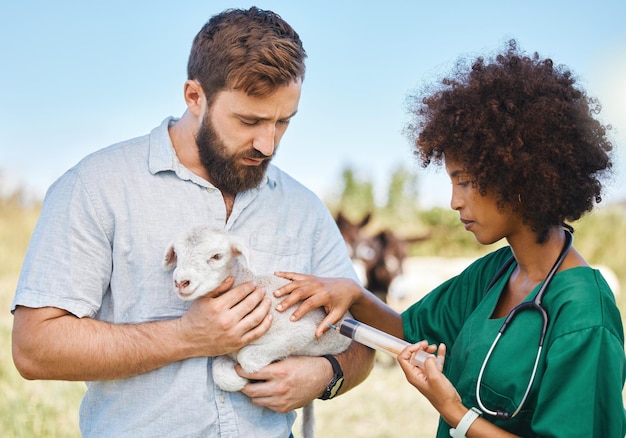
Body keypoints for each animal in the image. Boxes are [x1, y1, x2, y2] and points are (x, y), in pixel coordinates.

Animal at [162, 226, 352, 438]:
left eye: (217, 256)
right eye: (178, 254)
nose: (181, 282)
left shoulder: (302, 329)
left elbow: (248, 357)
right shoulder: (227, 350)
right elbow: (220, 373)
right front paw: (238, 379)